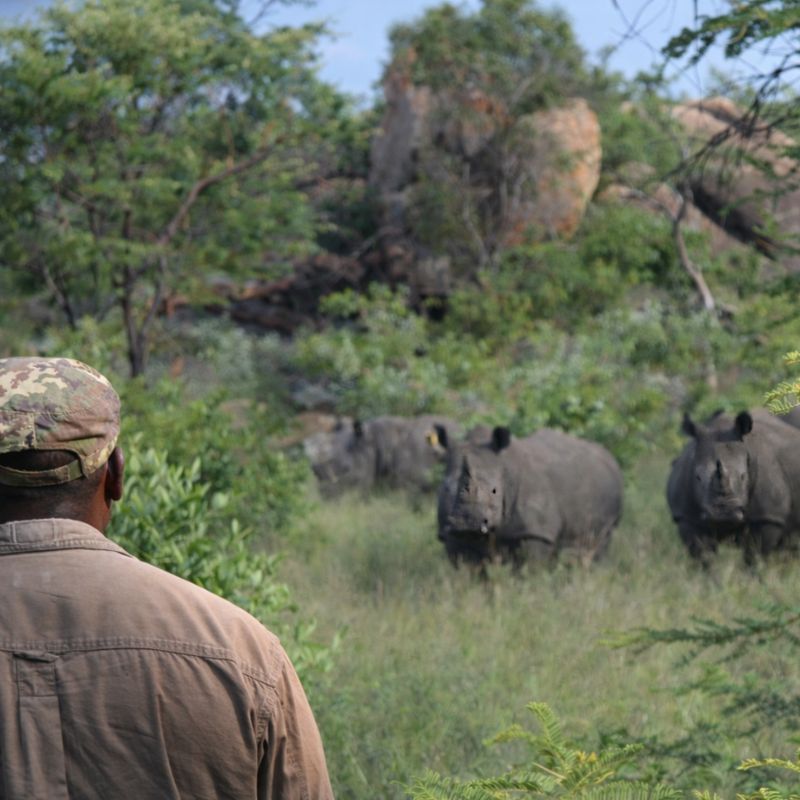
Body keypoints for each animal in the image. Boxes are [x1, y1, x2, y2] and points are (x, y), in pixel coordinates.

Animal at [435, 425, 624, 567]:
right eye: (446, 487)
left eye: (494, 490)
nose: (466, 523)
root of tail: (609, 457)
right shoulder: (453, 533)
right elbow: (467, 569)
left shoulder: (536, 531)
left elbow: (528, 568)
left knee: (597, 544)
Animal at [666, 409, 800, 563]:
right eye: (697, 477)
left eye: (743, 476)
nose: (722, 512)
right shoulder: (686, 517)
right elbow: (703, 556)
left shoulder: (768, 516)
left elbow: (755, 555)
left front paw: (755, 570)